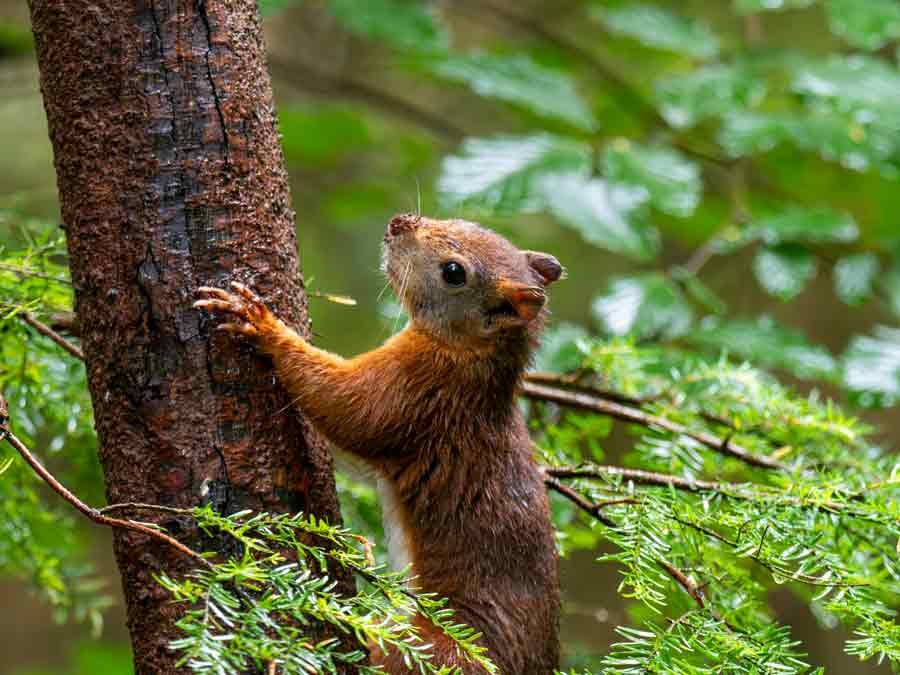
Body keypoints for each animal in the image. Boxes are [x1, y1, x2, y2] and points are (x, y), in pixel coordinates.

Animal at [194, 214, 564, 673]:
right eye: (469, 223)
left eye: (454, 272)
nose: (399, 222)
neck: (471, 356)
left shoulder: (419, 390)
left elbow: (348, 407)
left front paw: (261, 324)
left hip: (431, 652)